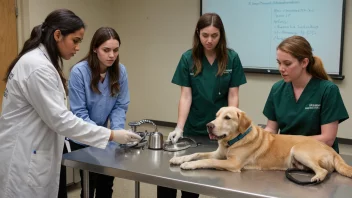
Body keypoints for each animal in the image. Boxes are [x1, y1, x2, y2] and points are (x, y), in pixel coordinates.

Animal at [169, 106, 350, 183]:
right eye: (216, 115)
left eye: (227, 117)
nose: (209, 125)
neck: (233, 141)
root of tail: (333, 152)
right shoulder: (218, 153)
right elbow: (197, 153)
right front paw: (179, 159)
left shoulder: (232, 163)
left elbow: (207, 160)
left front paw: (188, 164)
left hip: (299, 150)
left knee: (323, 170)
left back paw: (317, 177)